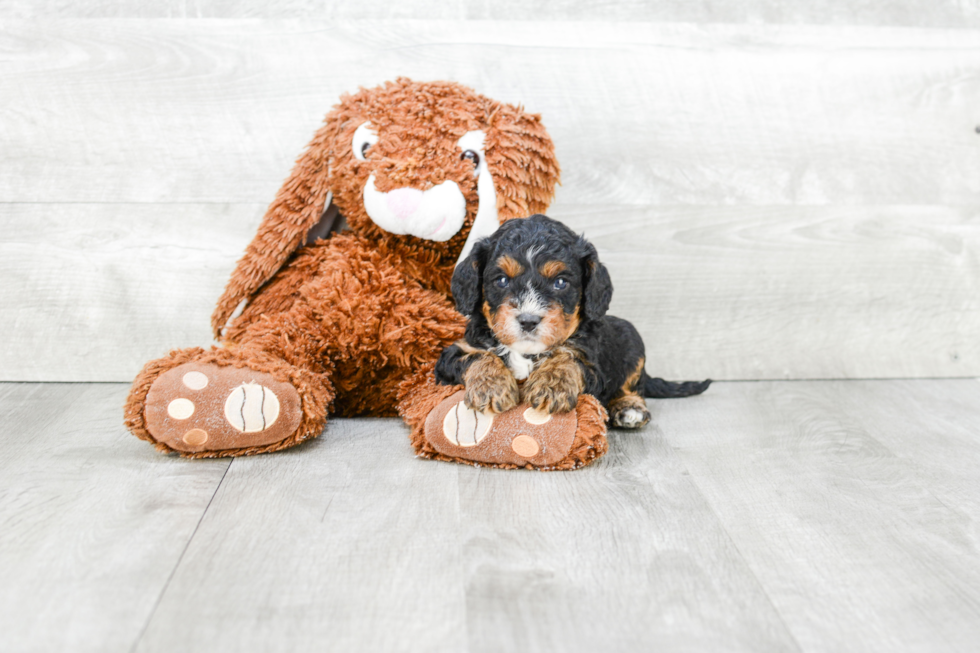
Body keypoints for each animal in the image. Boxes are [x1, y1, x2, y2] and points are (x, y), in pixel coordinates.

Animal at [432, 214, 708, 428]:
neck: (527, 353)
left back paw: (630, 408)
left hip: (633, 341)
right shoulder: (453, 353)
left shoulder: (596, 370)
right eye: (501, 280)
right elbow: (478, 356)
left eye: (560, 282)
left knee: (633, 386)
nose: (528, 321)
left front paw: (552, 385)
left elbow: (569, 358)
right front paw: (491, 386)